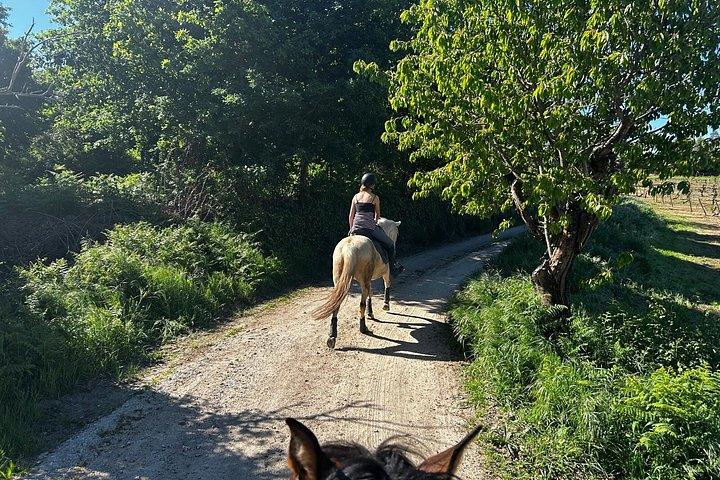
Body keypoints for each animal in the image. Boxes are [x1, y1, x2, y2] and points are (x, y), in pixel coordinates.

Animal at [312, 218, 401, 349]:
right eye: (397, 233)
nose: (394, 244)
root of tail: (349, 247)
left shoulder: (369, 279)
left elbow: (371, 293)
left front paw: (371, 312)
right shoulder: (385, 272)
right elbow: (386, 285)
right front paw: (385, 305)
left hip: (339, 280)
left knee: (337, 304)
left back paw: (332, 336)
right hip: (363, 280)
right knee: (361, 304)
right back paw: (363, 328)